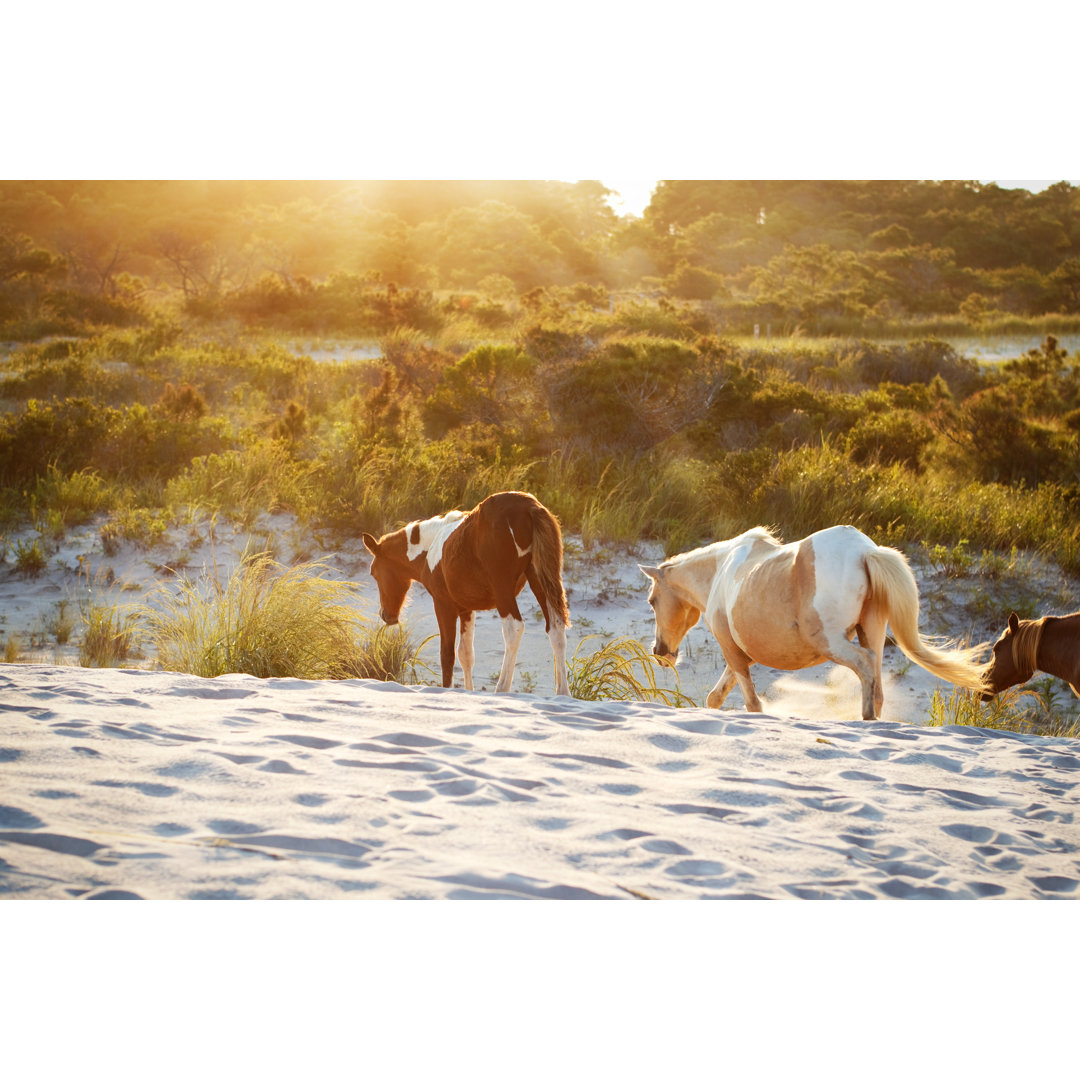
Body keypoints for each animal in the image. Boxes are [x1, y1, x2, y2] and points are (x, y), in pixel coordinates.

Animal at [362, 494, 574, 695]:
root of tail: (530, 507)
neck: (431, 547)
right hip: (540, 580)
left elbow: (447, 654)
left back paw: (502, 688)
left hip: (503, 589)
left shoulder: (443, 605)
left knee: (514, 628)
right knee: (556, 628)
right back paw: (563, 692)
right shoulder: (466, 609)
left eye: (373, 572)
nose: (386, 615)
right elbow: (466, 654)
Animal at [639, 524, 989, 721]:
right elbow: (716, 696)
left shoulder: (731, 649)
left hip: (831, 641)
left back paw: (864, 718)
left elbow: (752, 704)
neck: (721, 571)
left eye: (652, 600)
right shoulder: (742, 654)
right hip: (871, 631)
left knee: (865, 665)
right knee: (876, 679)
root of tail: (866, 552)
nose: (660, 652)